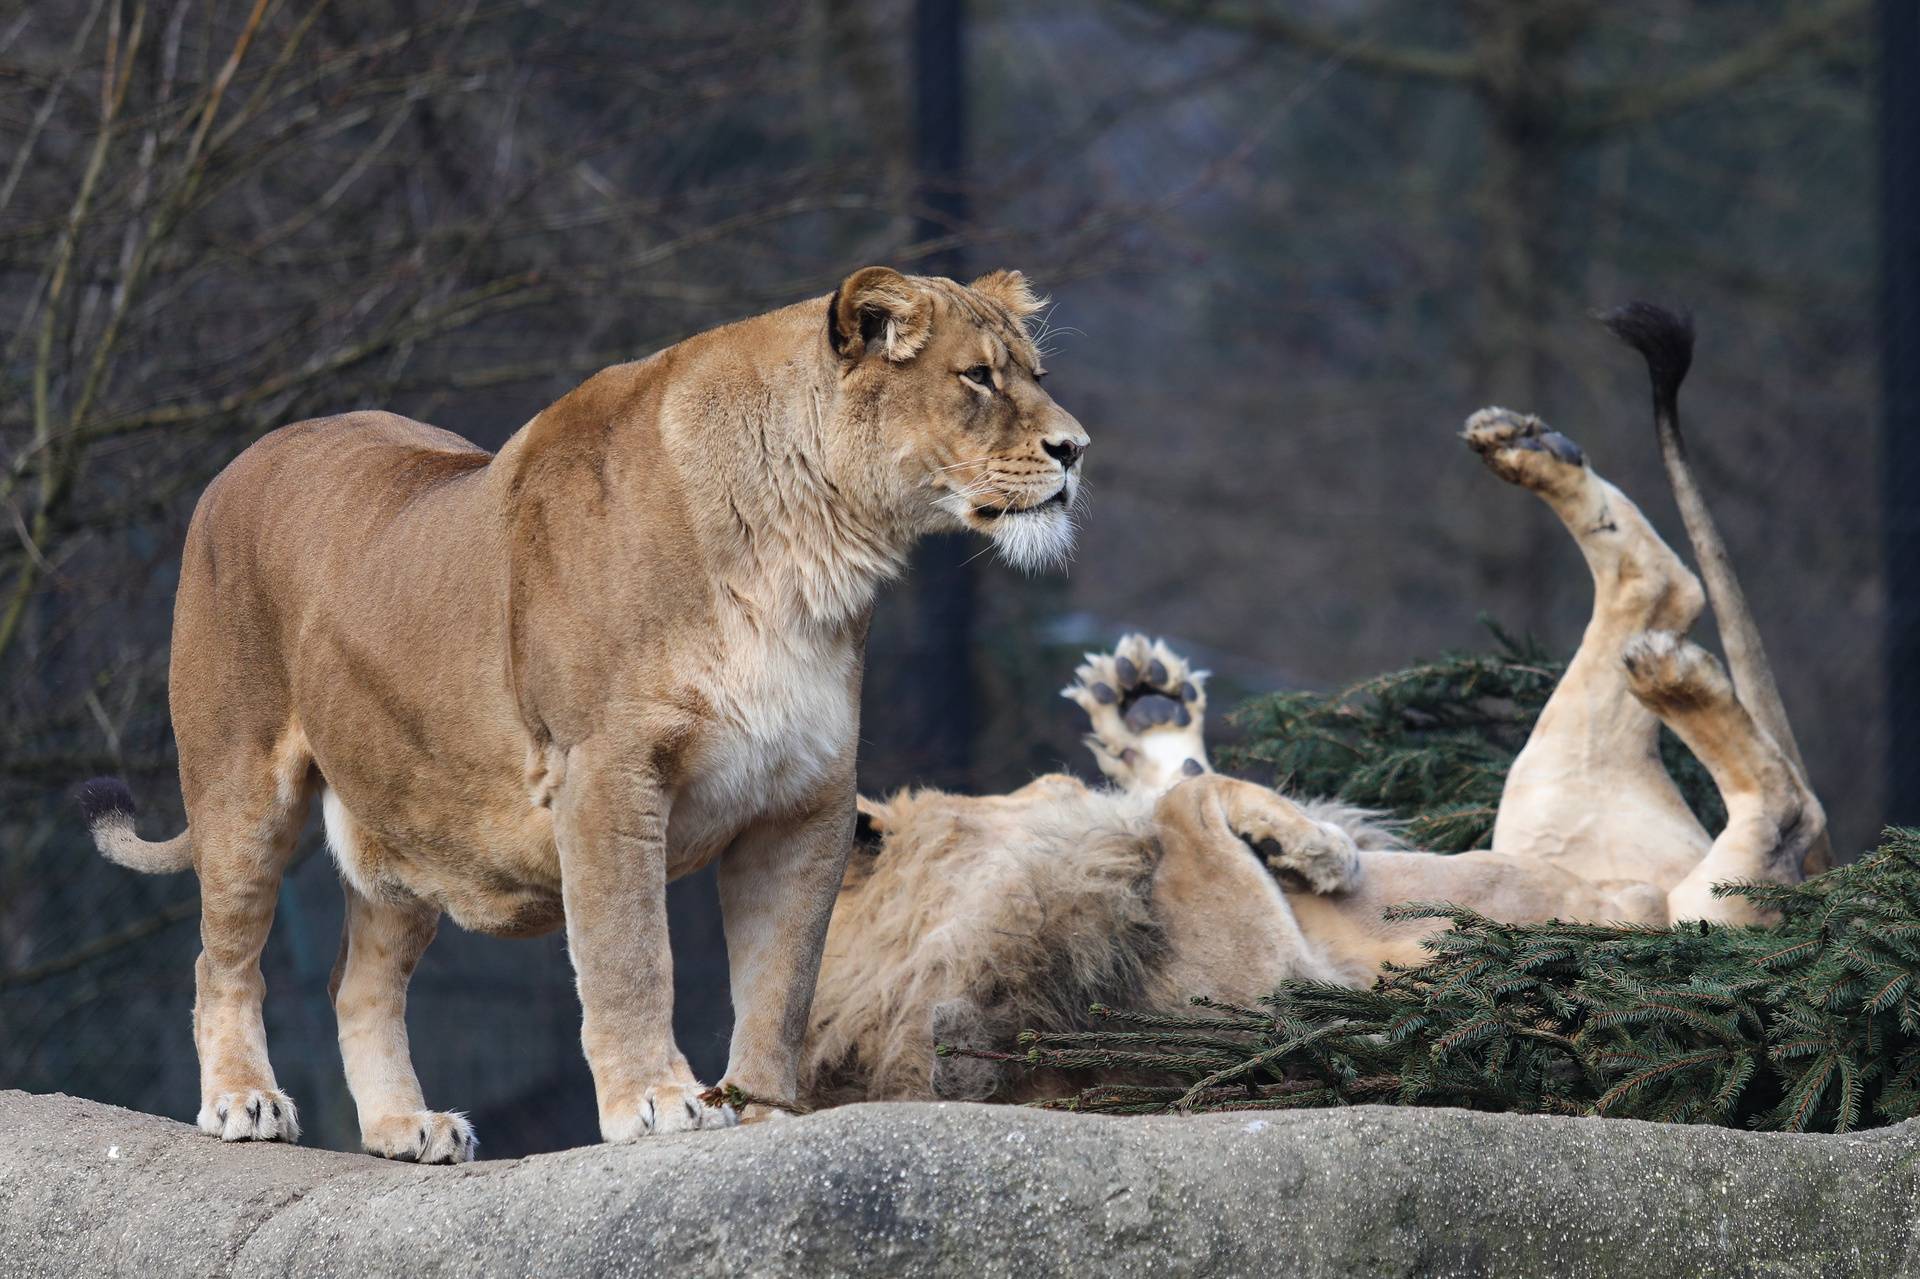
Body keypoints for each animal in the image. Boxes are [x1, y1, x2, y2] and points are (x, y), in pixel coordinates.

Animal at [82, 266, 1090, 1152]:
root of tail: (239, 463)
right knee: (222, 959)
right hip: (241, 789)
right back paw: (245, 1101)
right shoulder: (607, 771)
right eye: (976, 376)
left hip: (407, 819)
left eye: (1039, 375)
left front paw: (764, 1113)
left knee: (357, 985)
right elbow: (629, 949)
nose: (1076, 450)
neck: (811, 548)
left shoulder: (805, 798)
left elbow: (783, 979)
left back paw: (408, 1127)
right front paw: (655, 1100)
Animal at [802, 303, 1820, 1098]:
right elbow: (1191, 805)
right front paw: (1320, 847)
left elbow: (1182, 791)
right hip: (1682, 901)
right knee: (1771, 793)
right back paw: (1674, 675)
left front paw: (1249, 796)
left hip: (1548, 804)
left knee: (1661, 579)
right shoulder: (1261, 977)